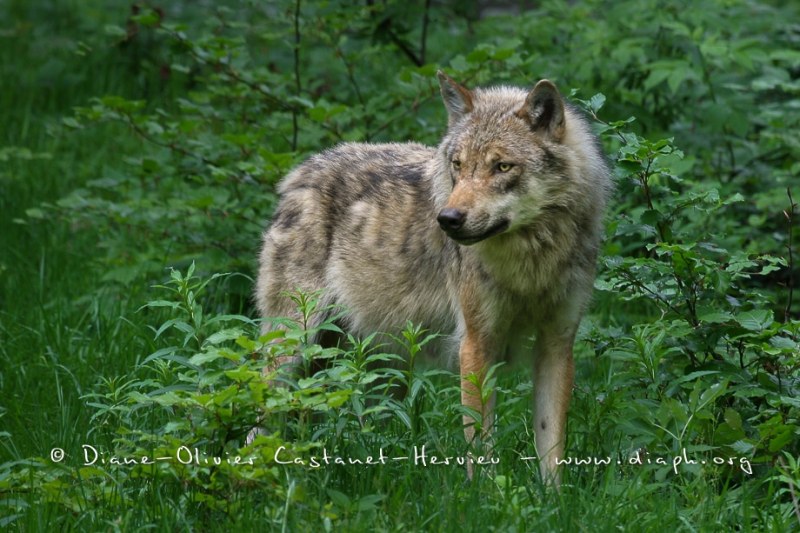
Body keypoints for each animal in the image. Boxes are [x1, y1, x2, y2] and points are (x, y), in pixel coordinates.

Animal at [253, 69, 608, 482]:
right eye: (457, 165)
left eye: (502, 167)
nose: (448, 219)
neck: (530, 261)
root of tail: (303, 170)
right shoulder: (476, 344)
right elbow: (480, 446)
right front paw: (488, 494)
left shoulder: (557, 343)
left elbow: (552, 446)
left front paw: (552, 495)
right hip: (294, 348)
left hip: (374, 366)